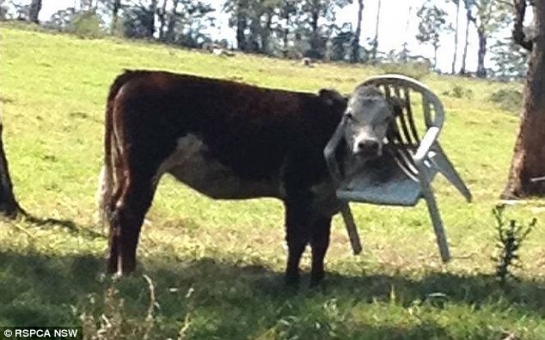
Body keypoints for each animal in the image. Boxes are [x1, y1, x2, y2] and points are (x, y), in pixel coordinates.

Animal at [99, 69, 396, 286]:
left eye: (387, 118)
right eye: (349, 116)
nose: (368, 145)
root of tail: (139, 74)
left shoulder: (325, 200)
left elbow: (321, 243)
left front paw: (317, 283)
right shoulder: (297, 193)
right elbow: (297, 240)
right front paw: (290, 283)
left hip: (124, 168)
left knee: (114, 208)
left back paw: (111, 268)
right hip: (143, 169)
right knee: (129, 212)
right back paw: (129, 272)